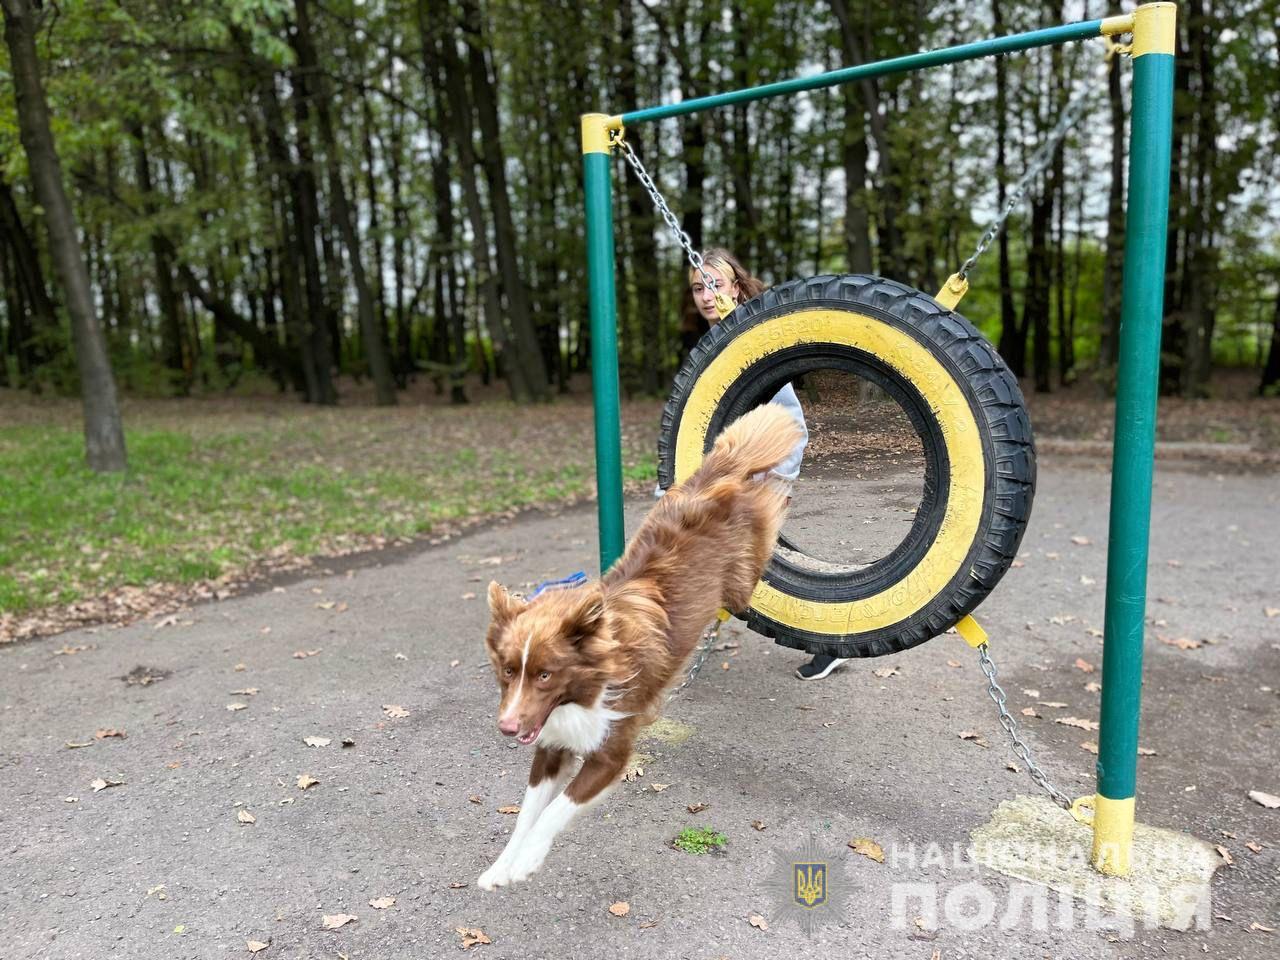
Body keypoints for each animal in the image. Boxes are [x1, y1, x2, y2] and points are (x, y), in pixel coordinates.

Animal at [481, 401, 798, 890]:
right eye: (509, 672)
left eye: (546, 674)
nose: (508, 728)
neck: (585, 690)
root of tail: (715, 479)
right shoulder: (551, 744)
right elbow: (527, 811)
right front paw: (502, 866)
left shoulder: (611, 749)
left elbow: (556, 809)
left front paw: (529, 859)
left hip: (743, 579)